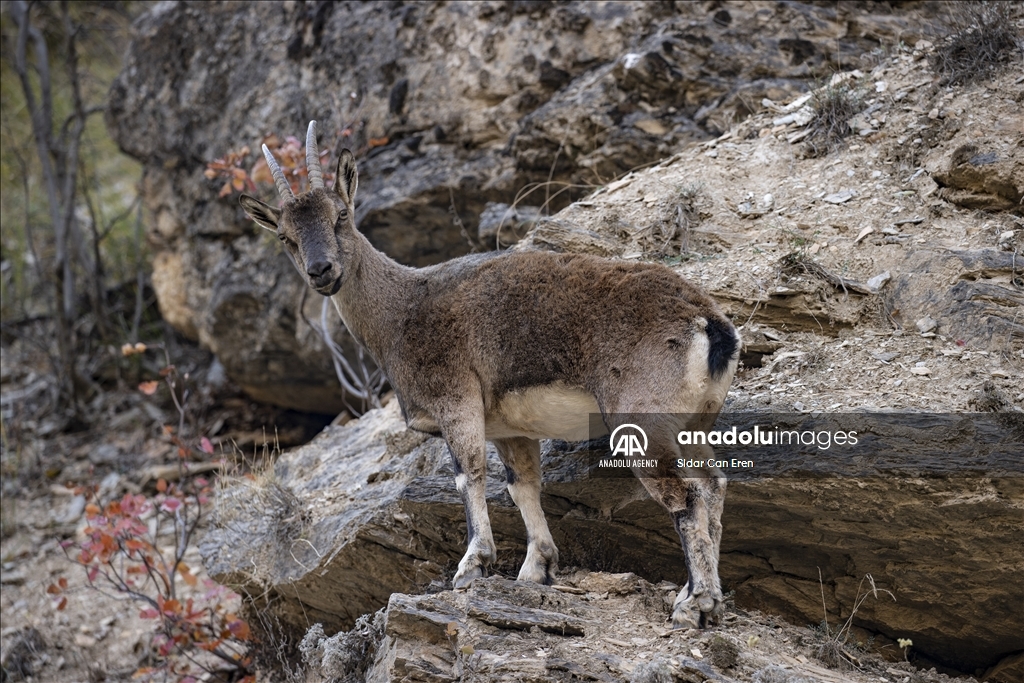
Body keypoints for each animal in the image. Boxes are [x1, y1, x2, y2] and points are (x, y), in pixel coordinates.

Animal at [239, 121, 737, 626]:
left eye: (341, 214)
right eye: (284, 236)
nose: (322, 271)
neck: (401, 312)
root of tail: (707, 323)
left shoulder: (456, 399)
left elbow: (468, 473)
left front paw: (472, 565)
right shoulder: (510, 428)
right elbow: (522, 487)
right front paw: (536, 569)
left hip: (641, 421)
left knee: (686, 497)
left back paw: (694, 603)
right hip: (694, 423)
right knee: (712, 486)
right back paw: (700, 596)